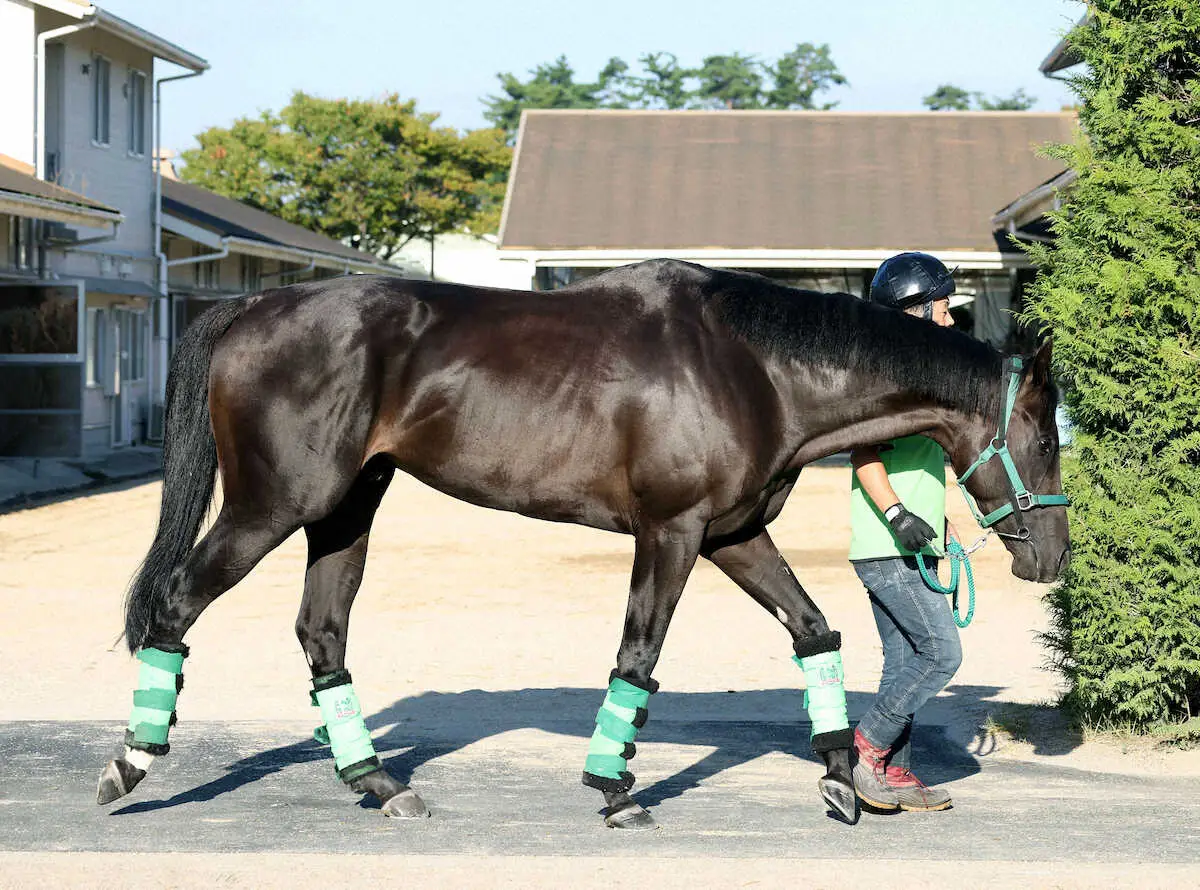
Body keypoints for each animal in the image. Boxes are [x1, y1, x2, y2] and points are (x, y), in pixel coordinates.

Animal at [96, 257, 1070, 830]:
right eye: (1047, 437)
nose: (1051, 557)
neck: (752, 368)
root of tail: (257, 302)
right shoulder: (672, 533)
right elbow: (639, 657)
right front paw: (614, 789)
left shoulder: (734, 532)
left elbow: (815, 631)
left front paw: (840, 777)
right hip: (274, 505)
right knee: (177, 604)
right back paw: (130, 765)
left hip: (346, 509)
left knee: (322, 636)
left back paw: (379, 782)